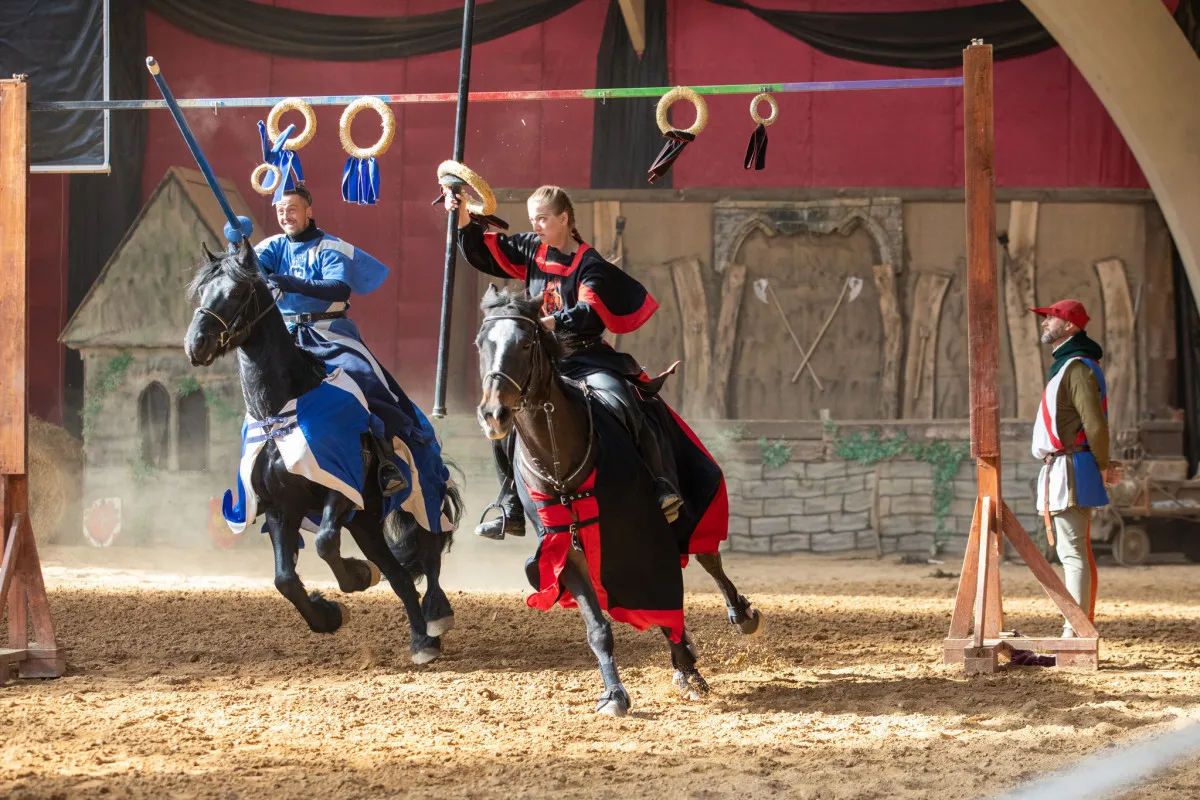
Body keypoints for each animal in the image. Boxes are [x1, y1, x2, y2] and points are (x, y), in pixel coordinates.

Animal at [184, 242, 460, 662]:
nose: (195, 344)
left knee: (428, 553)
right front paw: (328, 614)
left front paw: (357, 576)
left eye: (235, 292)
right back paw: (420, 639)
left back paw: (435, 617)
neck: (280, 411)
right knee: (398, 575)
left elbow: (325, 542)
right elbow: (285, 578)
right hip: (367, 522)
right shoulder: (282, 508)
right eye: (202, 292)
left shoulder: (340, 489)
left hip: (420, 496)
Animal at [470, 287, 758, 719]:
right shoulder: (563, 549)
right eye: (480, 345)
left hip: (684, 514)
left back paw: (740, 615)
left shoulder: (642, 537)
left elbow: (663, 600)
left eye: (525, 343)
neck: (562, 460)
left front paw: (688, 670)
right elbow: (598, 628)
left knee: (709, 558)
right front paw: (614, 694)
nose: (493, 414)